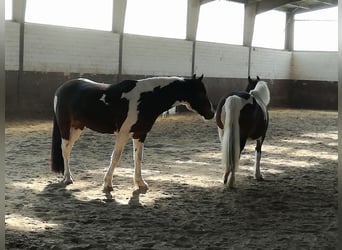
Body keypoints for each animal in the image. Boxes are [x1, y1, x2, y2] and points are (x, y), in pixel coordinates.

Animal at [50, 74, 214, 193]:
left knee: (68, 149)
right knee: (65, 150)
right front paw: (108, 184)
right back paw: (68, 178)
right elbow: (116, 157)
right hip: (66, 128)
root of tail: (60, 89)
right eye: (201, 92)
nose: (211, 113)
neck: (146, 98)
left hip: (77, 128)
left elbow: (138, 158)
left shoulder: (140, 134)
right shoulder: (123, 134)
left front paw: (141, 183)